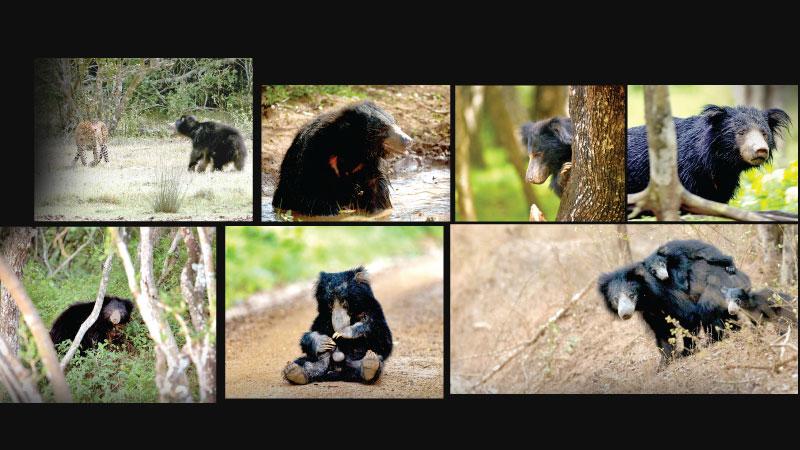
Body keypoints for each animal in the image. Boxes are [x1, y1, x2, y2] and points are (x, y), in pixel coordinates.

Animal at [274, 101, 416, 216]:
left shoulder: (371, 164)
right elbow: (310, 190)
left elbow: (377, 190)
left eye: (396, 124)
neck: (352, 152)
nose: (408, 140)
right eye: (383, 128)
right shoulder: (311, 157)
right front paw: (331, 211)